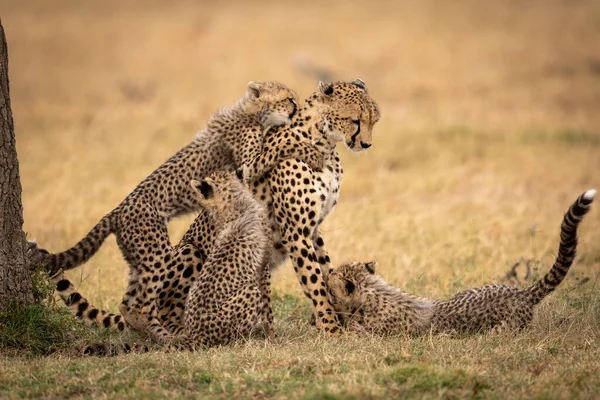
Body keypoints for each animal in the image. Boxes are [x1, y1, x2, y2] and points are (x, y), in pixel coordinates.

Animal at [328, 189, 596, 336]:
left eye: (332, 282)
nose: (328, 272)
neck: (374, 291)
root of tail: (521, 293)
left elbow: (357, 331)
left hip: (502, 330)